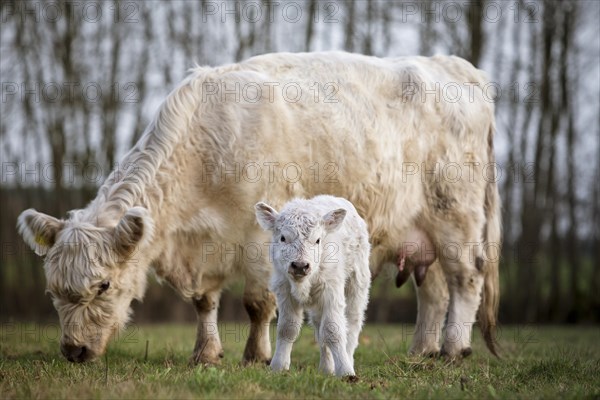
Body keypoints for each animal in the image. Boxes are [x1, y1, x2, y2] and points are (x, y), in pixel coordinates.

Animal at [254, 195, 370, 376]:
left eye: (317, 240)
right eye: (283, 238)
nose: (300, 265)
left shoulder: (331, 290)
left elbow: (333, 330)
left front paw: (345, 371)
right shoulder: (284, 290)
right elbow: (287, 328)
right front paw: (278, 367)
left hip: (358, 282)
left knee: (352, 322)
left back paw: (348, 360)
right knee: (319, 327)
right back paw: (326, 368)